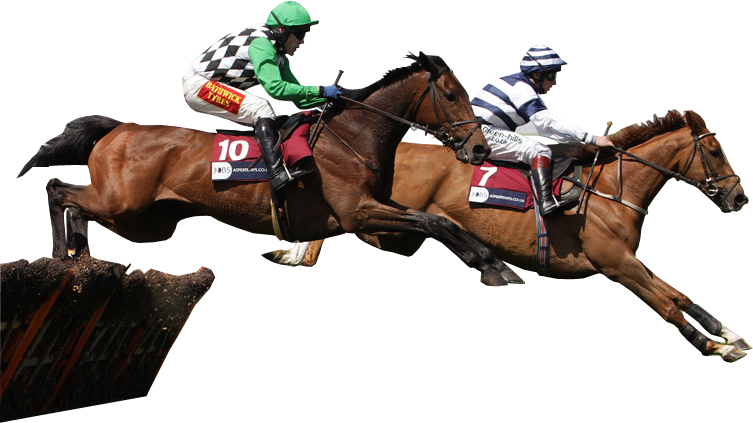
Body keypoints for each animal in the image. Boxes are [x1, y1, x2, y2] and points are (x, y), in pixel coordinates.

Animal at [24, 52, 522, 288]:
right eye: (452, 96)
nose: (479, 149)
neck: (354, 133)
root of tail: (119, 128)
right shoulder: (358, 212)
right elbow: (435, 220)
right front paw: (495, 266)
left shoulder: (374, 213)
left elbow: (439, 223)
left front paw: (495, 265)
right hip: (122, 201)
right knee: (58, 193)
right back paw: (61, 254)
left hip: (145, 220)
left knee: (82, 209)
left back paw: (77, 252)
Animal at [266, 109, 751, 361]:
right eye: (713, 151)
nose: (739, 195)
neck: (613, 191)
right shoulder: (616, 262)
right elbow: (668, 301)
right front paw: (713, 342)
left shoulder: (625, 264)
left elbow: (678, 296)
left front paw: (726, 336)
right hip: (383, 218)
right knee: (345, 221)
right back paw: (291, 252)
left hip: (394, 227)